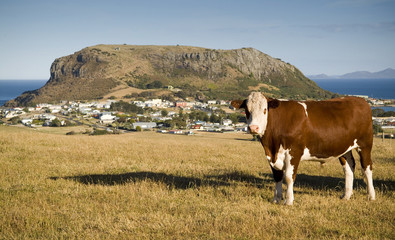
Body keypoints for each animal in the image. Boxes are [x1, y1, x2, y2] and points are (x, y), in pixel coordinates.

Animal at [232, 92, 378, 204]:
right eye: (247, 111)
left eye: (264, 110)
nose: (253, 128)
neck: (272, 143)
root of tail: (360, 100)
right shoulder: (271, 155)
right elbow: (278, 176)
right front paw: (276, 199)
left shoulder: (294, 152)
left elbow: (289, 177)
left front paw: (288, 201)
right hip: (344, 148)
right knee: (349, 168)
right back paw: (346, 195)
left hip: (365, 144)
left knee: (367, 167)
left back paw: (371, 196)